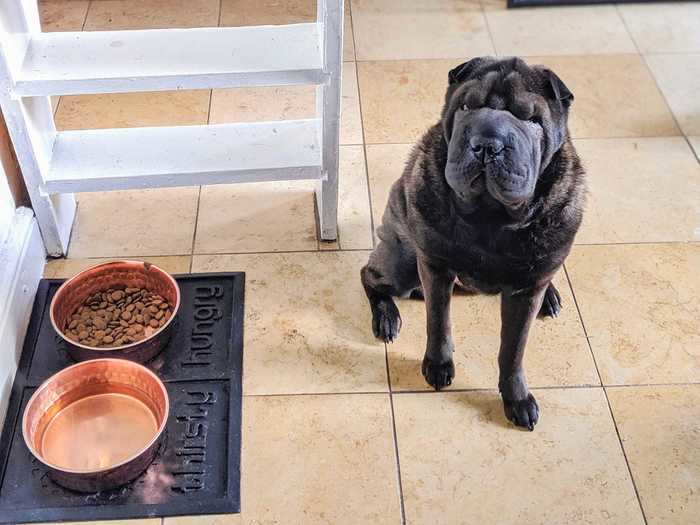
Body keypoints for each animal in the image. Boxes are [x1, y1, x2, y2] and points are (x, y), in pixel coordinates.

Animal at [360, 56, 584, 430]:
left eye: (531, 119)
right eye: (466, 107)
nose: (487, 144)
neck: (491, 218)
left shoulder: (526, 291)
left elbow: (513, 349)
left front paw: (517, 398)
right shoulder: (435, 267)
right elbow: (439, 322)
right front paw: (438, 365)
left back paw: (551, 295)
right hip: (399, 263)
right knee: (369, 276)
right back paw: (387, 318)